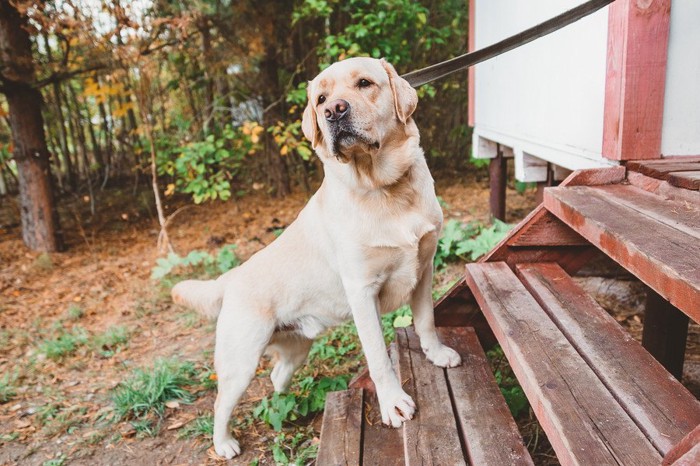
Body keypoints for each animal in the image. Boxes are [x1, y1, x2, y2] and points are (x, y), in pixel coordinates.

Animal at [172, 57, 462, 458]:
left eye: (364, 83)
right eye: (321, 98)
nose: (334, 111)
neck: (385, 190)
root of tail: (231, 277)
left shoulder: (424, 268)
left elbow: (426, 322)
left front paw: (437, 354)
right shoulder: (362, 291)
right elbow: (379, 357)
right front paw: (392, 403)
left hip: (296, 347)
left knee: (277, 375)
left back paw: (288, 403)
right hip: (240, 362)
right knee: (220, 403)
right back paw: (224, 443)